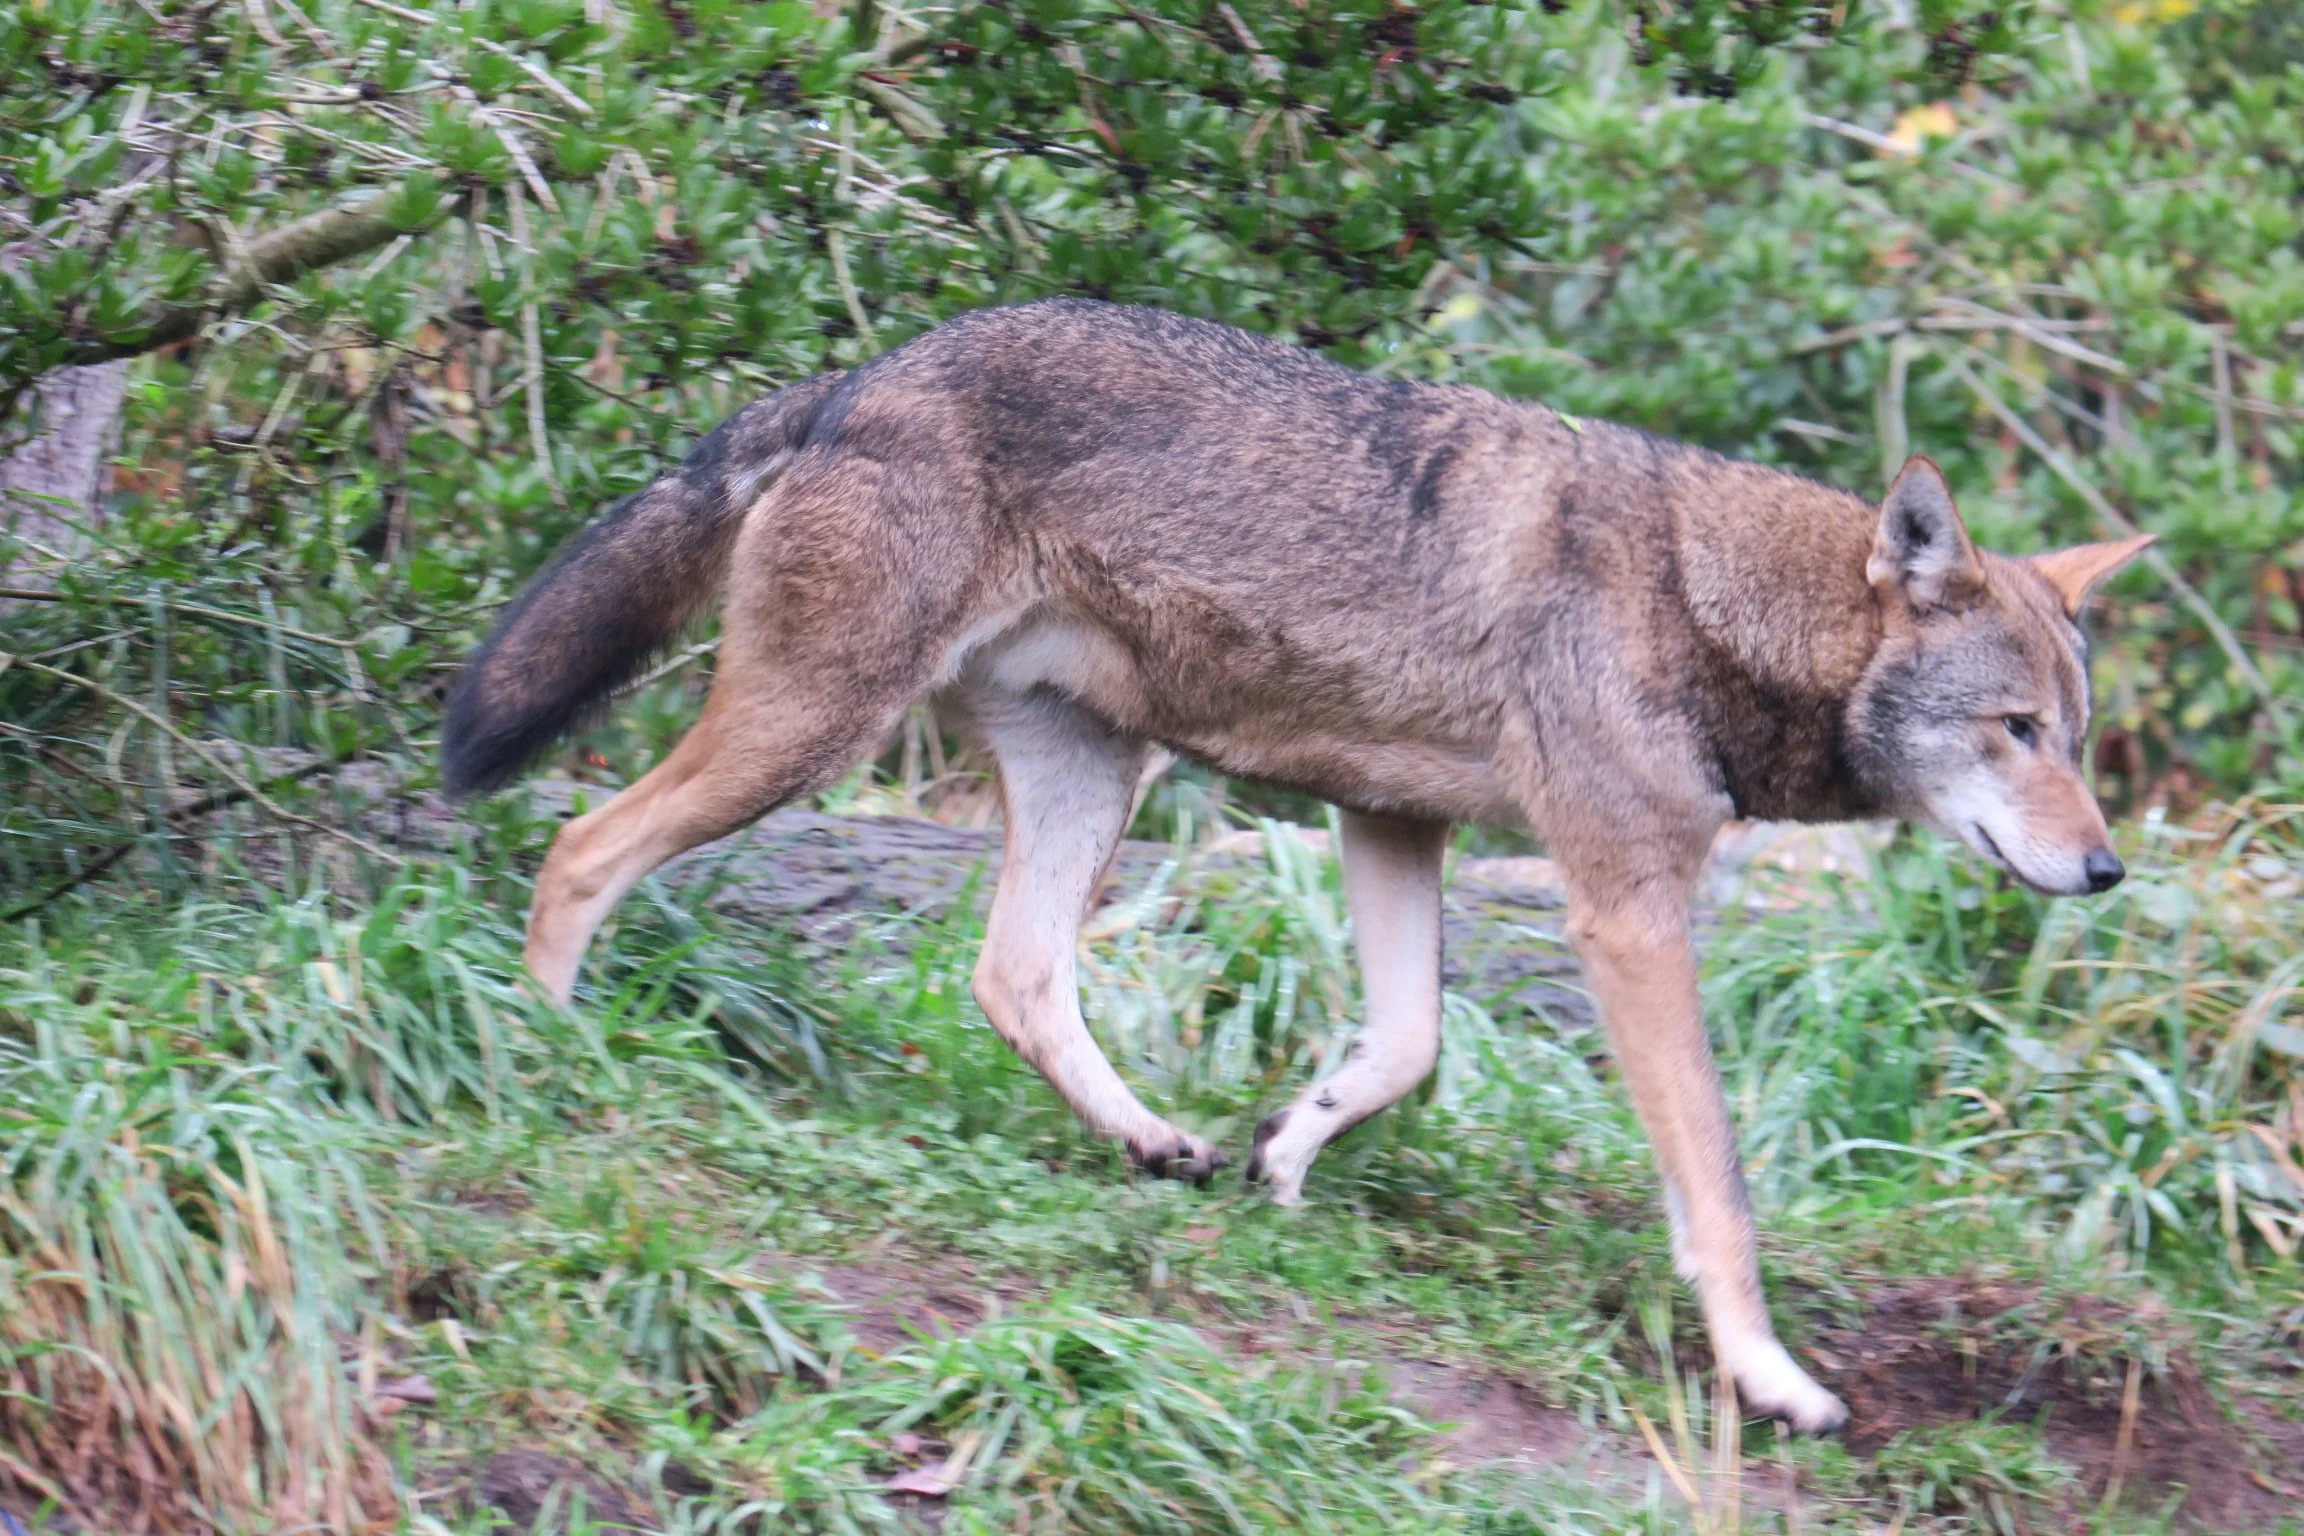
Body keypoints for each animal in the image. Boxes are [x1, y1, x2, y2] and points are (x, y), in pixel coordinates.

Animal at [442, 299, 2152, 1430]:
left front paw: (1286, 1146)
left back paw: (1156, 1144)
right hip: (809, 733)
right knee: (579, 846)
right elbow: (1720, 1193)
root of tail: (859, 377)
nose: (2107, 874)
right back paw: (551, 1059)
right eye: (2012, 731)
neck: (1702, 603)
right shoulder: (1625, 909)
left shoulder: (1393, 824)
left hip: (1088, 775)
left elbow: (1407, 1046)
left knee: (1012, 975)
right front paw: (1774, 1381)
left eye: (2076, 736)